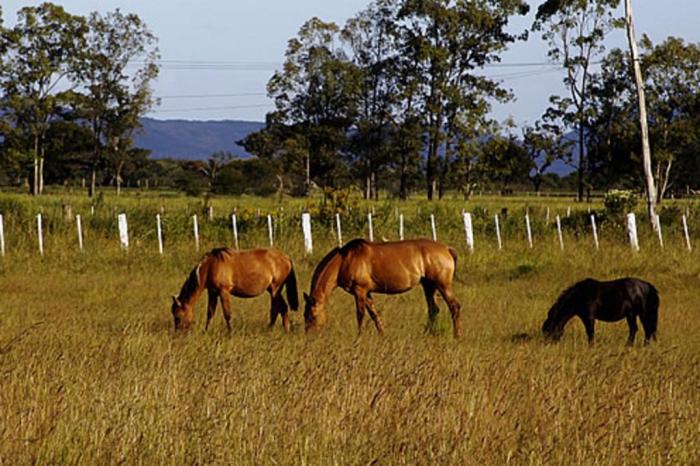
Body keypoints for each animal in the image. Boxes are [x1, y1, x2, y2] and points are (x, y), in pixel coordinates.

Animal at [304, 238, 462, 336]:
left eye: (311, 316)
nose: (309, 336)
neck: (345, 260)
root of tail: (447, 249)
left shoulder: (360, 291)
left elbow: (360, 314)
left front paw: (359, 336)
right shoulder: (367, 293)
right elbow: (374, 314)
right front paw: (382, 334)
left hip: (442, 285)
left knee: (454, 307)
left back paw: (456, 336)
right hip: (428, 286)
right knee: (433, 309)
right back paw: (427, 333)